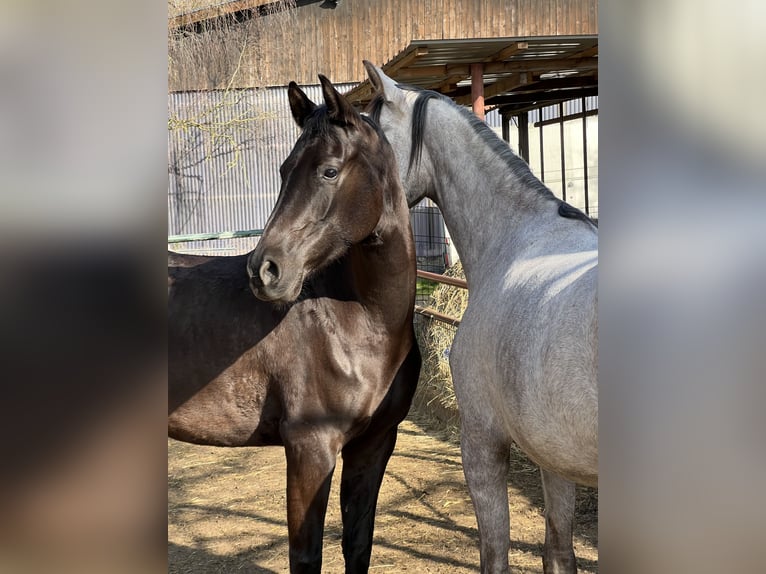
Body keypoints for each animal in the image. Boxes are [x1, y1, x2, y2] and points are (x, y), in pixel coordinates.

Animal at [169, 76, 424, 574]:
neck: (362, 323)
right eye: (285, 170)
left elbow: (357, 544)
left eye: (329, 171)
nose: (264, 271)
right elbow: (306, 557)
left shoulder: (374, 445)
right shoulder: (310, 447)